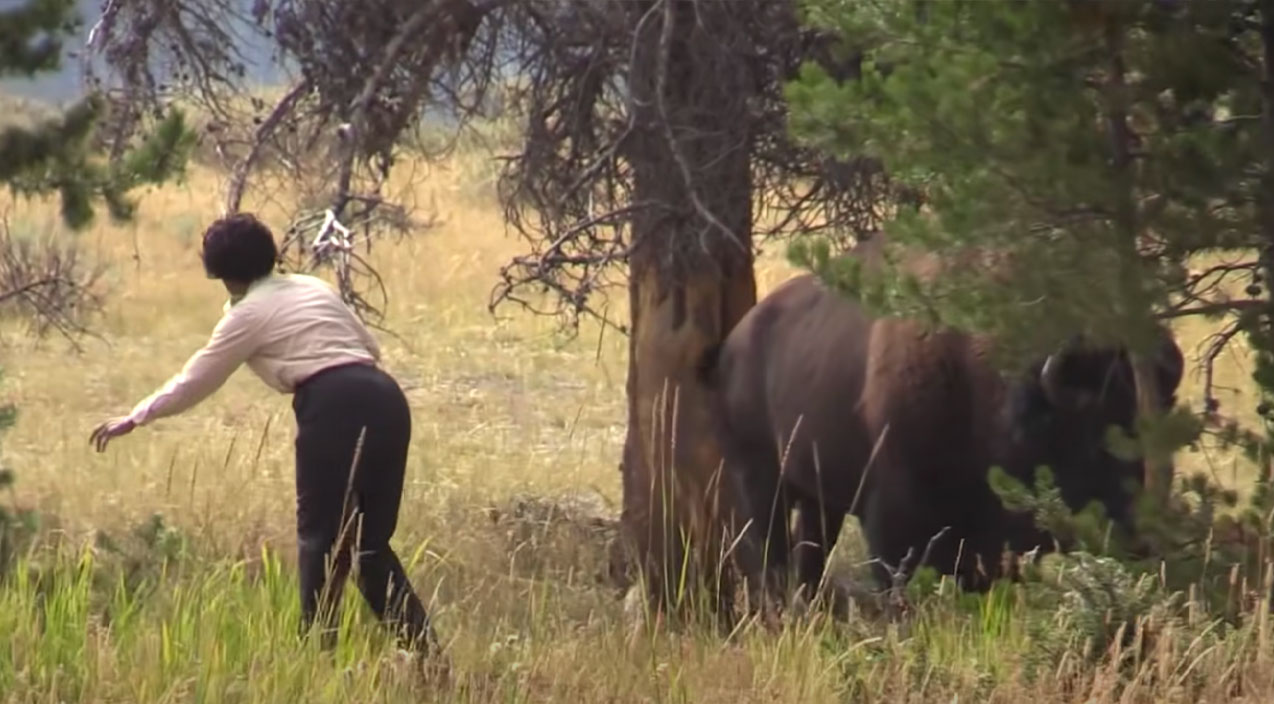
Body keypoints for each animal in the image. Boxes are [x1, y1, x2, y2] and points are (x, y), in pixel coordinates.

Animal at [698, 240, 1182, 603]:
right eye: (1097, 436)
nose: (1142, 536)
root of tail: (732, 345)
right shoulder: (892, 529)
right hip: (763, 483)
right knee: (774, 555)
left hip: (821, 498)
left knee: (810, 555)